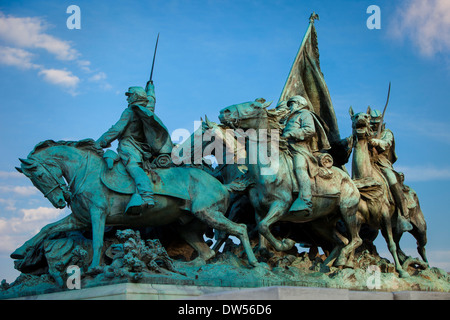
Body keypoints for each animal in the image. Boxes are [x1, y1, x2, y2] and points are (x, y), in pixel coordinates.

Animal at [12, 138, 258, 270]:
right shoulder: (80, 219)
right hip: (187, 227)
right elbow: (47, 229)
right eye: (33, 182)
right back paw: (182, 268)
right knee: (206, 254)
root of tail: (223, 185)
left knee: (240, 229)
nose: (59, 201)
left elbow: (98, 241)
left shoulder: (97, 214)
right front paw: (20, 250)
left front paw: (93, 268)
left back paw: (254, 262)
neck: (86, 171)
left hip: (207, 213)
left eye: (39, 176)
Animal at [216, 101, 360, 266]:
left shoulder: (281, 204)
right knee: (341, 242)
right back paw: (324, 267)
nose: (224, 111)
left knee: (356, 239)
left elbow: (263, 227)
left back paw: (341, 260)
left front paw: (286, 244)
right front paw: (264, 254)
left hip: (347, 211)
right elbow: (261, 231)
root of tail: (349, 180)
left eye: (255, 106)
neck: (267, 168)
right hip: (320, 223)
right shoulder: (259, 211)